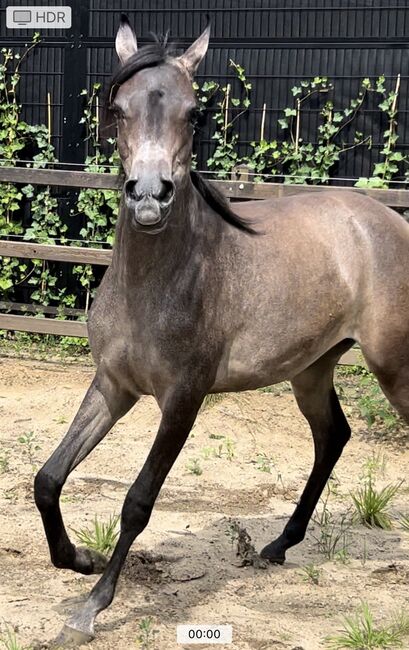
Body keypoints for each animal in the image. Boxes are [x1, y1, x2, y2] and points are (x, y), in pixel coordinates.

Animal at [33, 13, 408, 644]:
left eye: (194, 114)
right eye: (118, 107)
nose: (150, 196)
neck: (157, 285)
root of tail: (385, 218)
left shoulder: (184, 398)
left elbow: (138, 500)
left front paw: (93, 606)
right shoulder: (114, 386)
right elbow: (48, 479)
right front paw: (79, 559)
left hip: (395, 368)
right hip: (311, 370)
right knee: (333, 436)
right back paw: (279, 545)